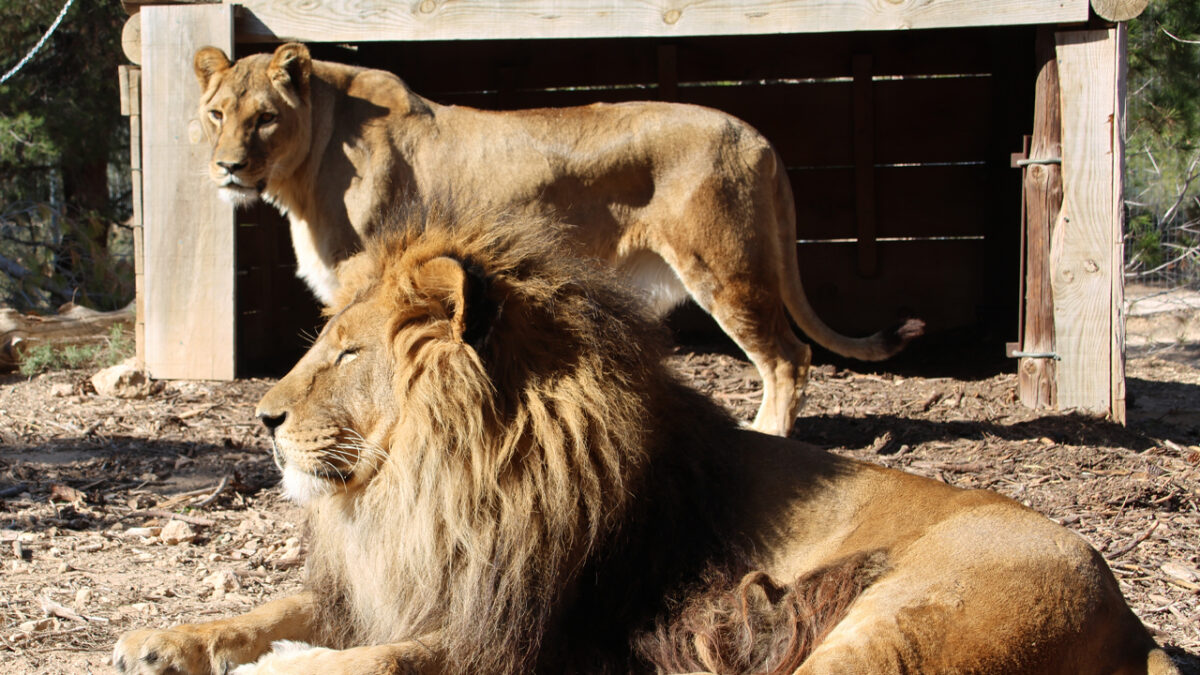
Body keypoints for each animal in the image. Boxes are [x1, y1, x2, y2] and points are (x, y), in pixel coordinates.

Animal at [113, 209, 1177, 675]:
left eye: (344, 353)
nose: (261, 419)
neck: (433, 486)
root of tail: (1136, 622)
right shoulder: (410, 585)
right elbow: (277, 606)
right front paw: (164, 638)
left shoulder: (525, 634)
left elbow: (376, 662)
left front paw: (279, 667)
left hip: (908, 619)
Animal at [191, 41, 924, 436]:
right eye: (217, 113)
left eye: (265, 118)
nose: (228, 166)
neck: (310, 162)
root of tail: (759, 135)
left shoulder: (370, 280)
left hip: (724, 268)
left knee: (789, 356)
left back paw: (768, 430)